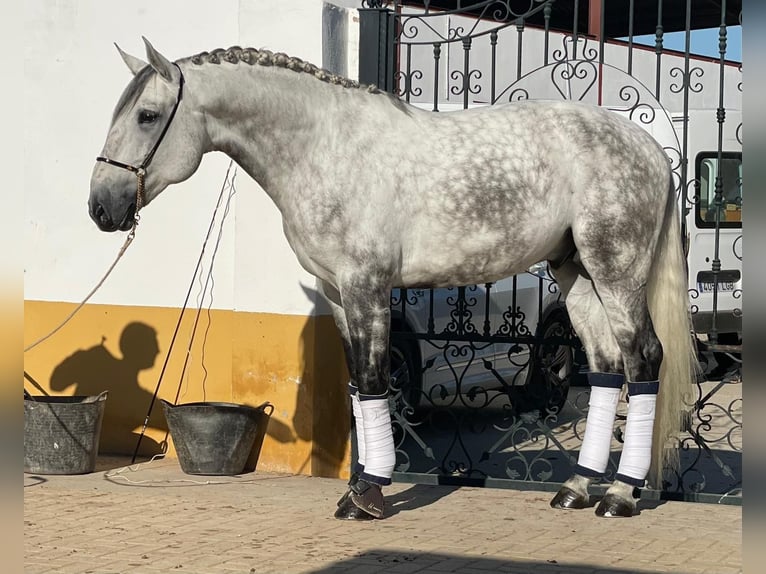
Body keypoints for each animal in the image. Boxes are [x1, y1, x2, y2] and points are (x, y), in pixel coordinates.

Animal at [88, 38, 696, 520]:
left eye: (147, 115)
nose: (101, 208)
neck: (324, 145)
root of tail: (647, 147)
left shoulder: (366, 285)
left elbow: (377, 380)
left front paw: (367, 497)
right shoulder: (337, 293)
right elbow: (359, 386)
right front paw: (357, 488)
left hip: (616, 270)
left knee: (643, 359)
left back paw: (619, 495)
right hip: (576, 274)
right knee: (606, 366)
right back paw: (576, 487)